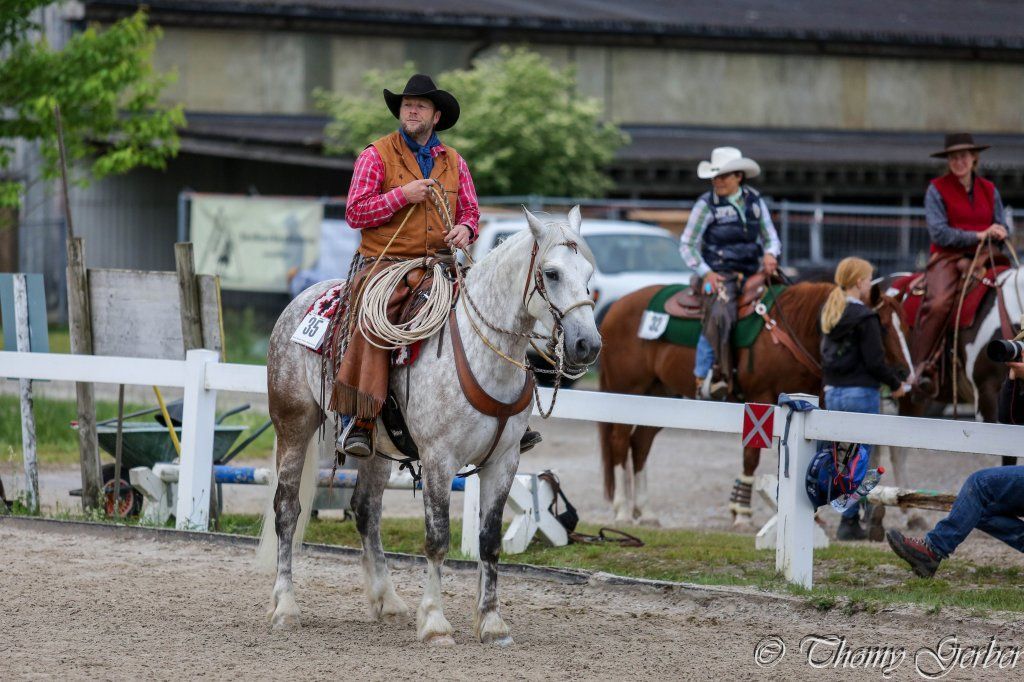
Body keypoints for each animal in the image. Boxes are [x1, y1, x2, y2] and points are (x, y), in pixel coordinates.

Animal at [258, 207, 600, 646]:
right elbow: (437, 540)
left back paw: (387, 600)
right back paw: (285, 606)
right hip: (294, 425)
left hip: (376, 449)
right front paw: (436, 623)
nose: (587, 345)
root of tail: (302, 298)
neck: (481, 353)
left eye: (588, 271)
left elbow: (489, 542)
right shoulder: (440, 460)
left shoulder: (504, 461)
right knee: (287, 509)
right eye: (552, 273)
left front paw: (492, 623)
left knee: (365, 511)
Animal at [598, 280, 912, 527]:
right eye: (882, 326)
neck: (790, 329)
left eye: (904, 325)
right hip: (626, 392)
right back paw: (623, 511)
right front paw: (742, 513)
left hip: (660, 396)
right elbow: (751, 456)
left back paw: (647, 512)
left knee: (640, 445)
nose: (904, 373)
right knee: (619, 443)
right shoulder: (760, 399)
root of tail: (615, 308)